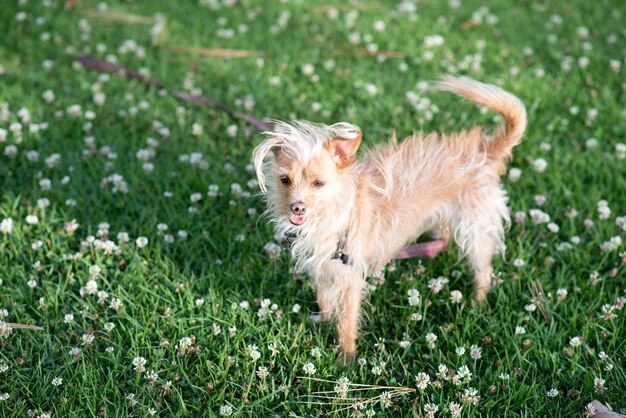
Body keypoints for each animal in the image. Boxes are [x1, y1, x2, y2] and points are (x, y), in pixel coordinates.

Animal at [251, 76, 524, 360]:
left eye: (318, 183)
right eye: (285, 180)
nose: (297, 208)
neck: (334, 212)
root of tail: (486, 152)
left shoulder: (349, 276)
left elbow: (346, 321)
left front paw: (345, 358)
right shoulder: (325, 266)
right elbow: (324, 297)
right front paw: (324, 320)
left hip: (475, 228)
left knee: (483, 270)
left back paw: (477, 302)